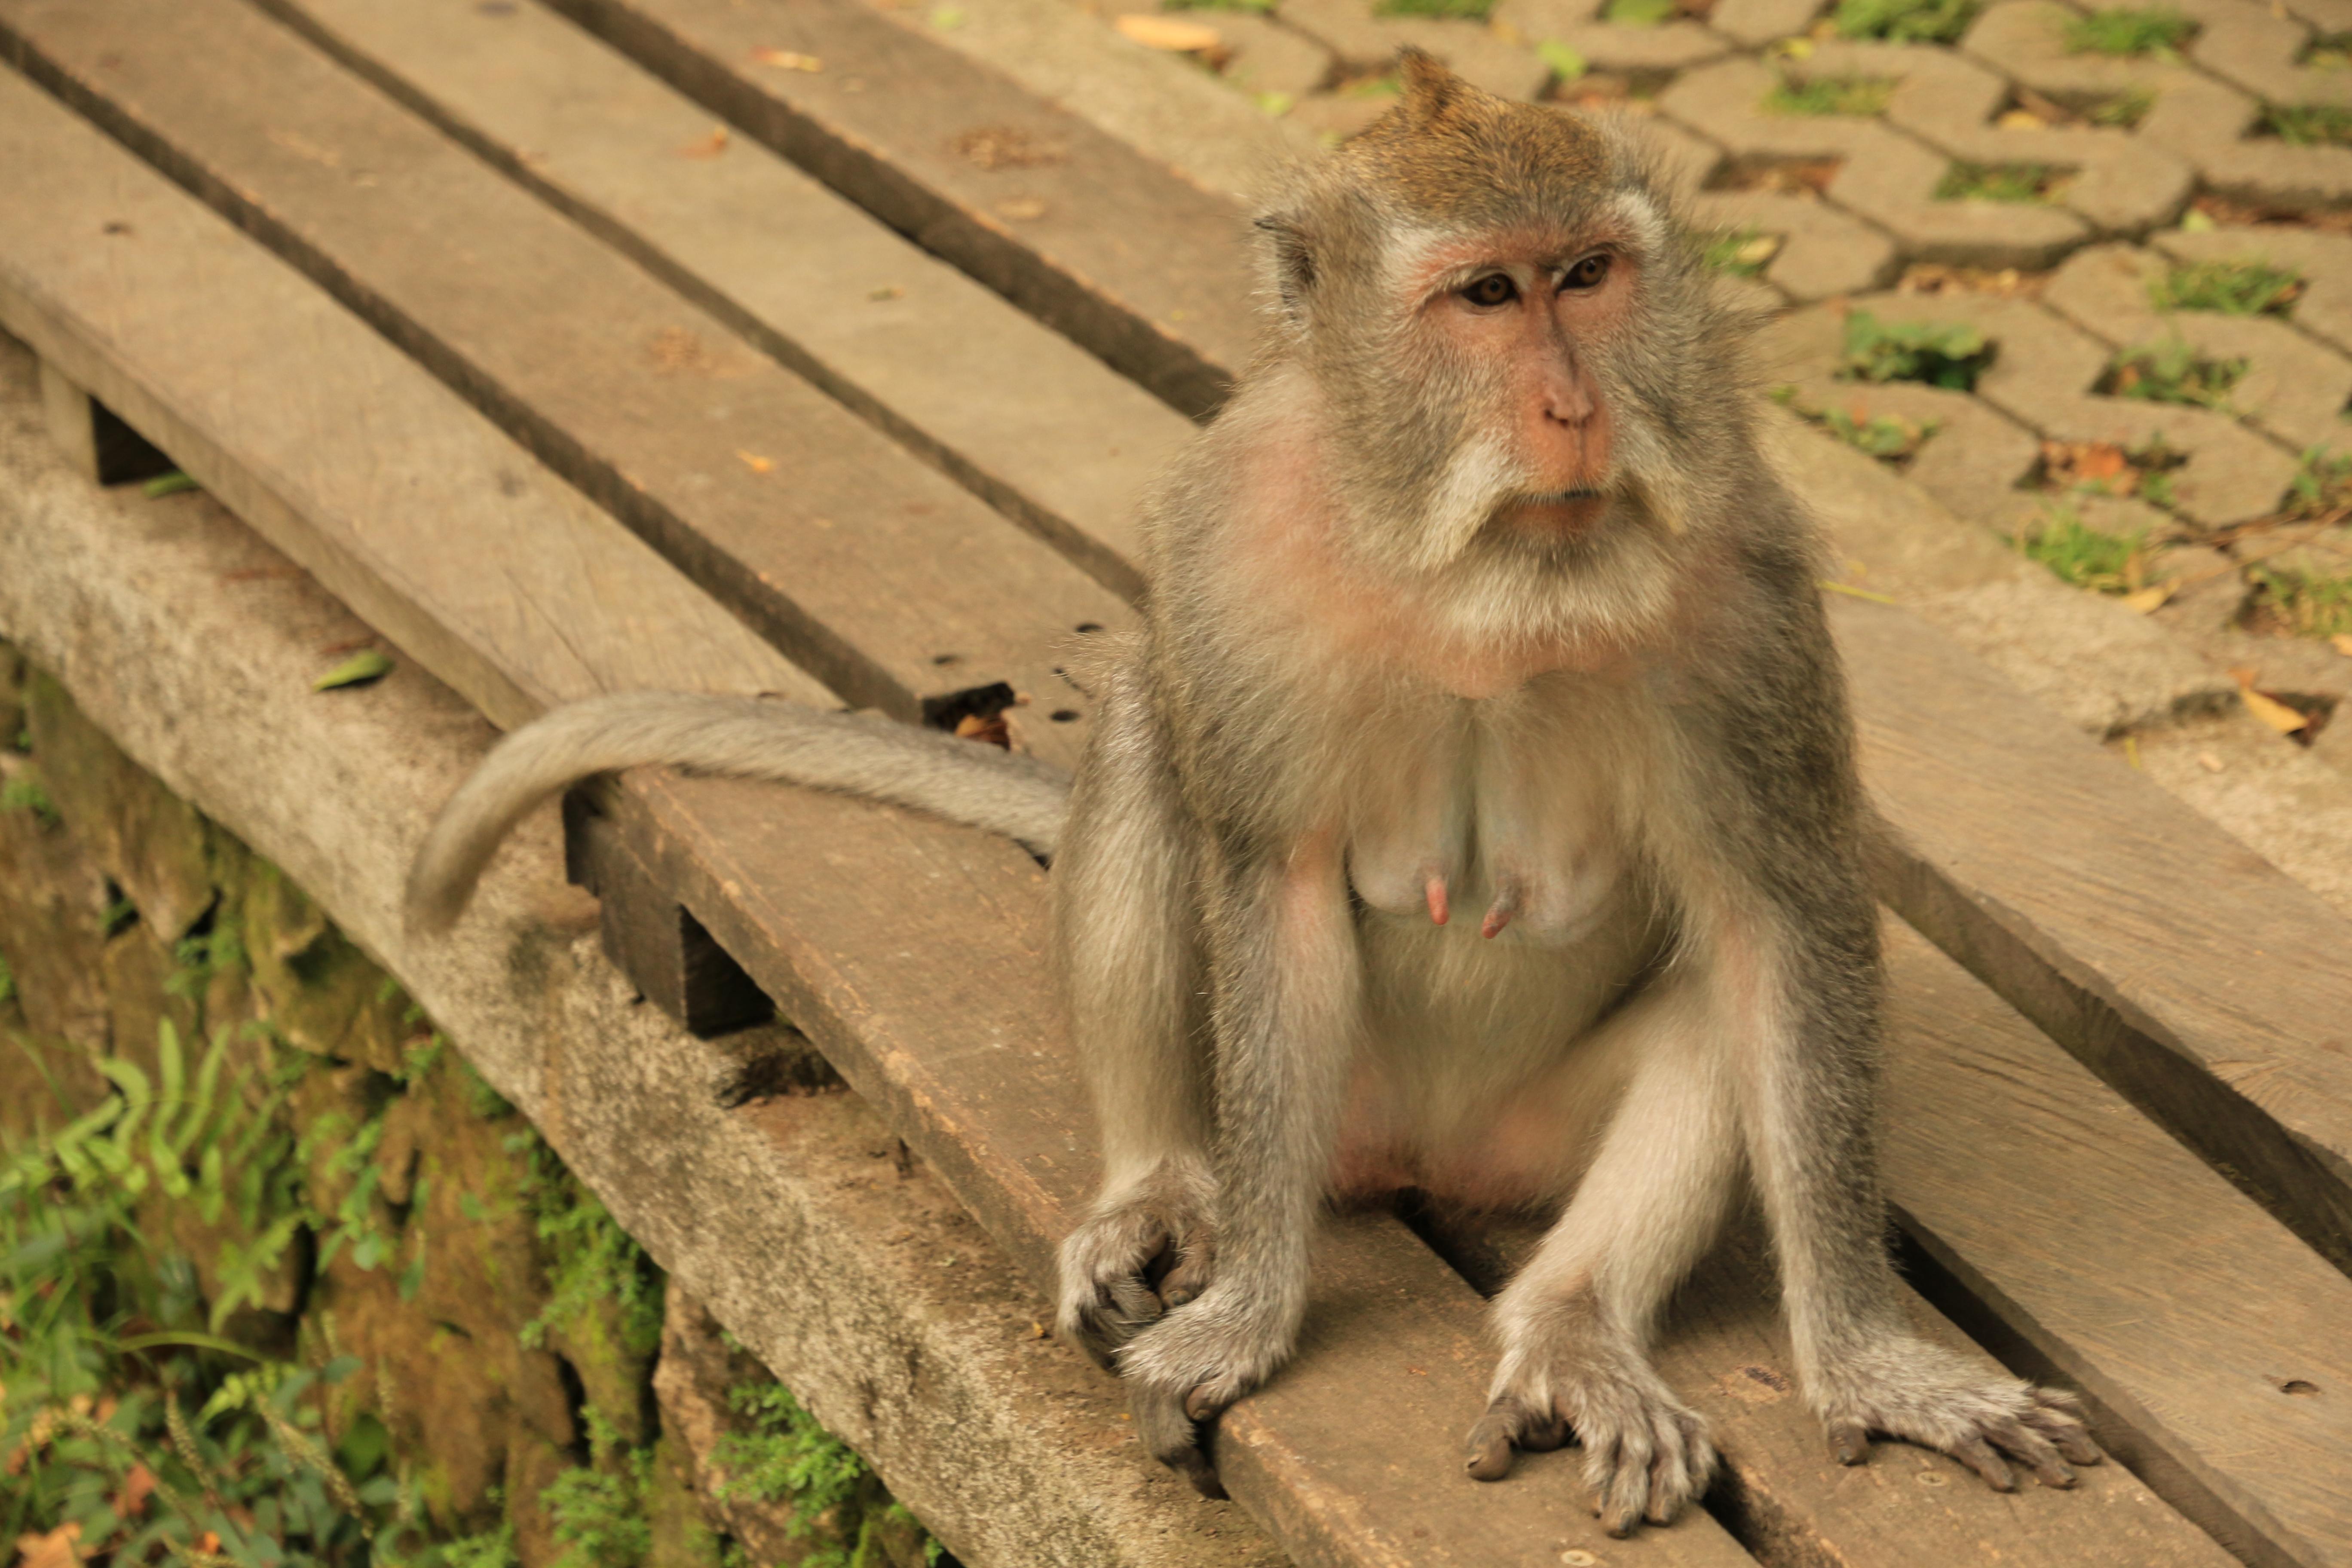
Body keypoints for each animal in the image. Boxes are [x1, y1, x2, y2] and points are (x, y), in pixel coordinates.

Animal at [407, 51, 2099, 1536]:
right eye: (1485, 297)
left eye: (1589, 274)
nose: (1576, 414)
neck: (1484, 583)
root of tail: (1429, 1157)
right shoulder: (1233, 547)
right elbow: (1270, 876)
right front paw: (1254, 1313)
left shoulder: (1745, 586)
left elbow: (1780, 920)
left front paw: (1873, 1363)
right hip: (1320, 1099)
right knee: (1152, 749)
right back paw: (1160, 1188)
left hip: (1528, 1138)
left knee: (1705, 1016)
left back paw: (1568, 1322)